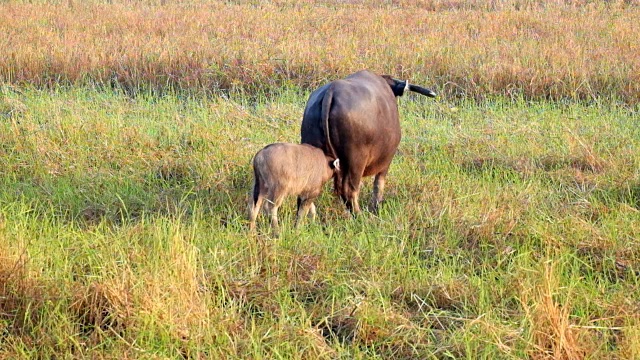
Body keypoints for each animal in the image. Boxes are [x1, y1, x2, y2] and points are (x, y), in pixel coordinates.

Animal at [300, 70, 436, 214]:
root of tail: (330, 92)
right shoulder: (386, 161)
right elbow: (378, 184)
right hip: (356, 160)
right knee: (350, 190)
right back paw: (359, 214)